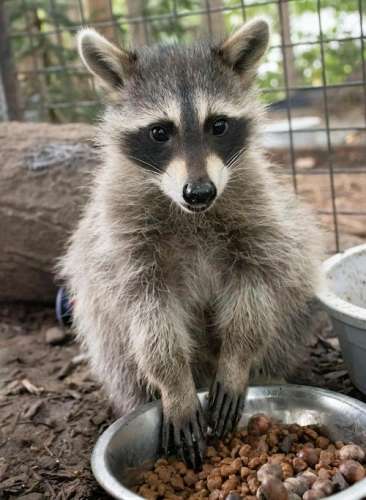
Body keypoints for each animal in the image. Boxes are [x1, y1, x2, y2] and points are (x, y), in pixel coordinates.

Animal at [60, 18, 324, 464]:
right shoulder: (124, 242)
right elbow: (148, 315)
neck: (191, 215)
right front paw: (174, 386)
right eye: (159, 132)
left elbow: (257, 286)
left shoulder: (259, 218)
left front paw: (237, 361)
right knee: (114, 349)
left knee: (293, 300)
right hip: (104, 330)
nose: (199, 193)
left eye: (217, 125)